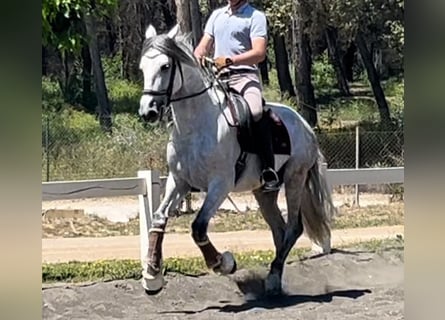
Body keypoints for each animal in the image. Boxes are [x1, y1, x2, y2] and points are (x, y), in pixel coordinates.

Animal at [139, 24, 332, 296]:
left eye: (165, 66)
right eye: (142, 68)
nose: (148, 111)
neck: (196, 126)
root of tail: (305, 125)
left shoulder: (220, 185)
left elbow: (198, 227)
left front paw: (224, 263)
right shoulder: (179, 181)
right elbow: (158, 219)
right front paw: (152, 275)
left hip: (295, 179)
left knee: (293, 228)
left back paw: (272, 277)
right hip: (264, 192)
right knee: (279, 230)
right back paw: (274, 279)